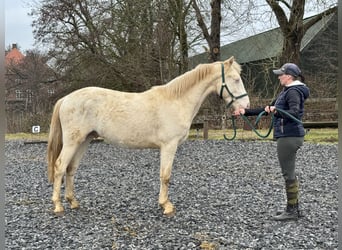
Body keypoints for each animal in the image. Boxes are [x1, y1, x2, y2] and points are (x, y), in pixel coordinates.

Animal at [46, 56, 250, 215]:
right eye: (235, 79)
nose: (246, 106)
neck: (176, 101)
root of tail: (66, 99)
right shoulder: (169, 145)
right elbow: (165, 175)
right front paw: (166, 206)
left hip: (84, 141)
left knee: (71, 169)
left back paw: (73, 201)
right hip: (72, 142)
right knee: (60, 167)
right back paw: (58, 205)